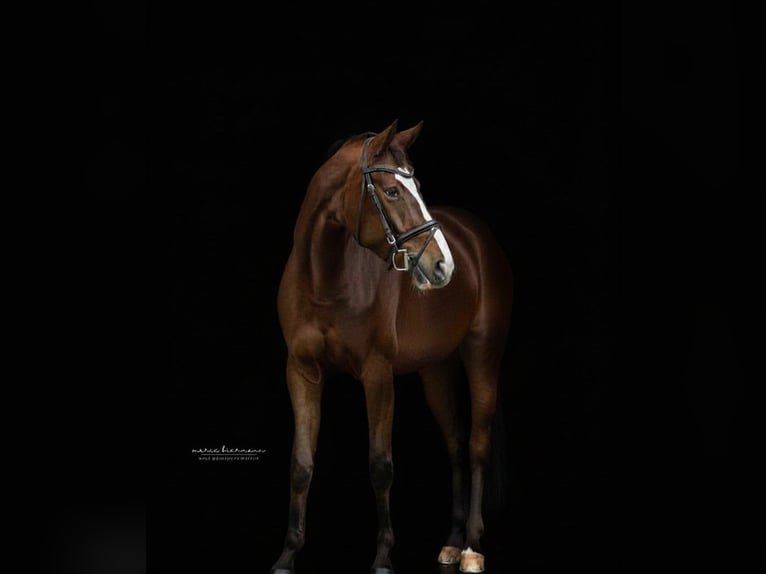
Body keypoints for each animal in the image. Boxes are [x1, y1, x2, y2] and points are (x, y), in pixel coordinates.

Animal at [270, 119, 513, 574]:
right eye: (393, 191)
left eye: (416, 184)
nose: (444, 266)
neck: (324, 279)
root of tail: (477, 237)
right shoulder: (301, 371)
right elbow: (300, 463)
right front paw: (288, 555)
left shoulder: (377, 373)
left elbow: (380, 464)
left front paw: (383, 556)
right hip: (435, 370)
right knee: (454, 443)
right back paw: (451, 542)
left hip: (482, 355)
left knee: (476, 445)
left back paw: (471, 548)